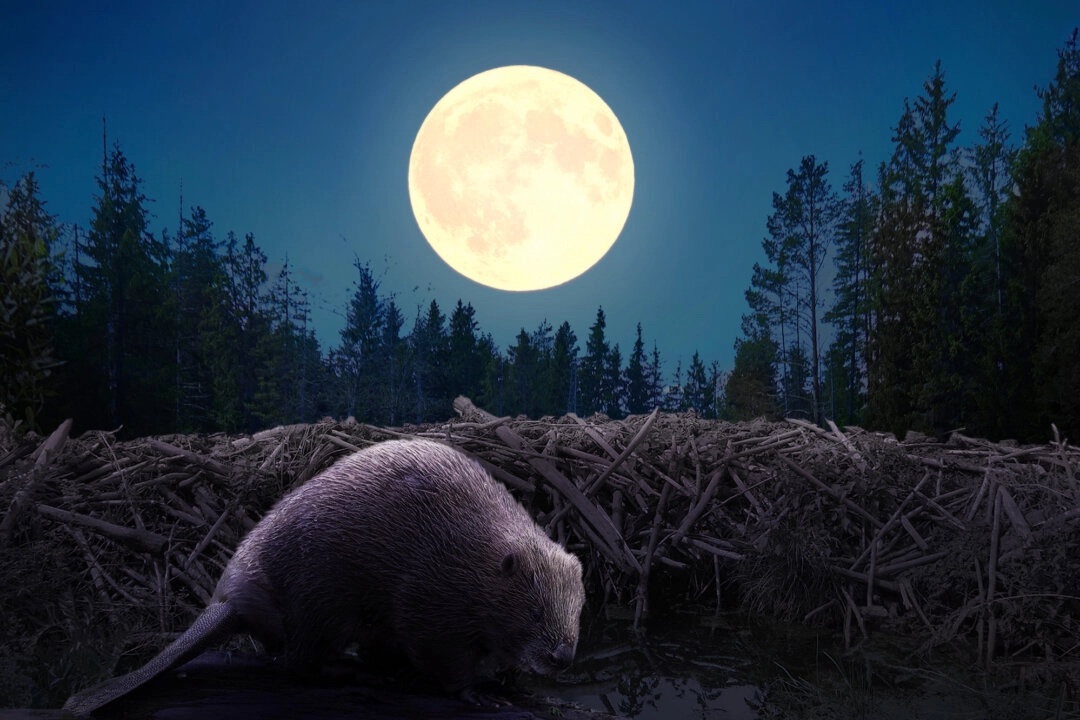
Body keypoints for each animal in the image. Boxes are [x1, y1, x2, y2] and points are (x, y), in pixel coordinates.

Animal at [63, 440, 587, 716]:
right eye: (534, 611)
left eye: (578, 611)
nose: (562, 657)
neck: (481, 553)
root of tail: (229, 600)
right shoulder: (431, 591)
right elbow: (441, 654)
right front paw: (481, 692)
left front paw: (513, 681)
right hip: (320, 602)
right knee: (296, 662)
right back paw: (353, 670)